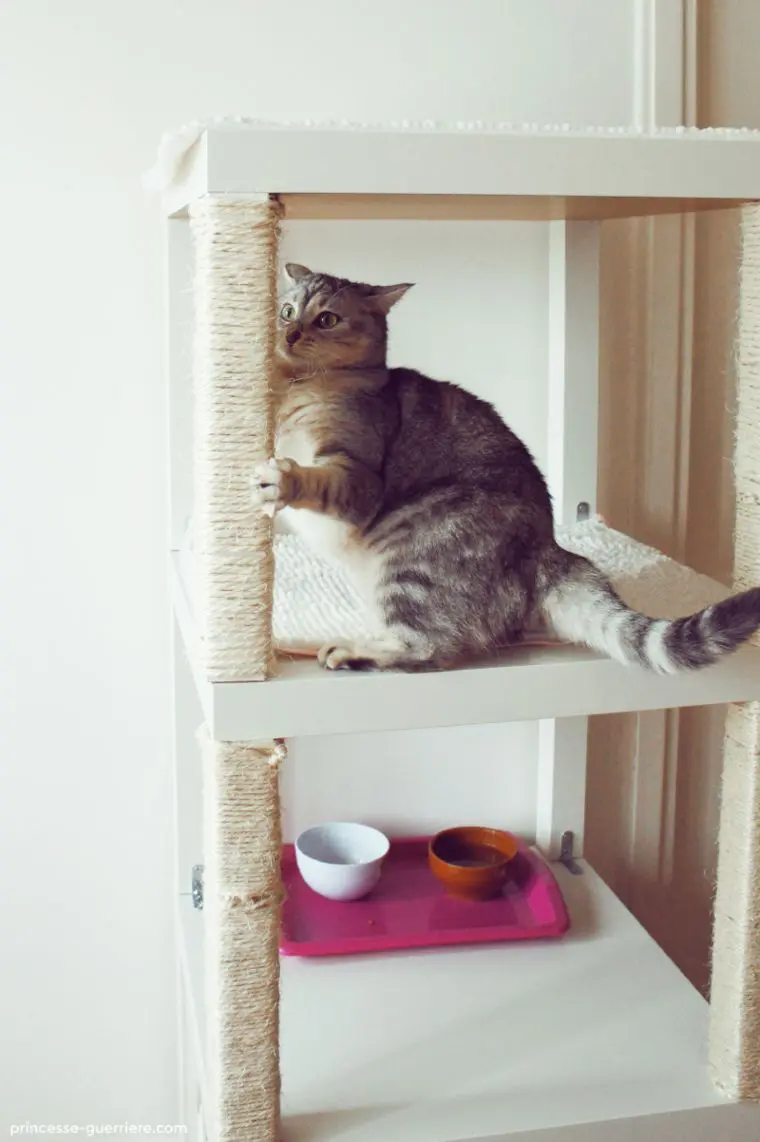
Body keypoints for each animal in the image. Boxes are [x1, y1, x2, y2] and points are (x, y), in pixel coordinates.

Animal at [250, 264, 760, 676]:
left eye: (327, 319)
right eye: (287, 311)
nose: (289, 333)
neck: (302, 387)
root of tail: (549, 551)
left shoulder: (355, 474)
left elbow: (315, 478)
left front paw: (281, 479)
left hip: (413, 559)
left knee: (432, 648)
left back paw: (353, 651)